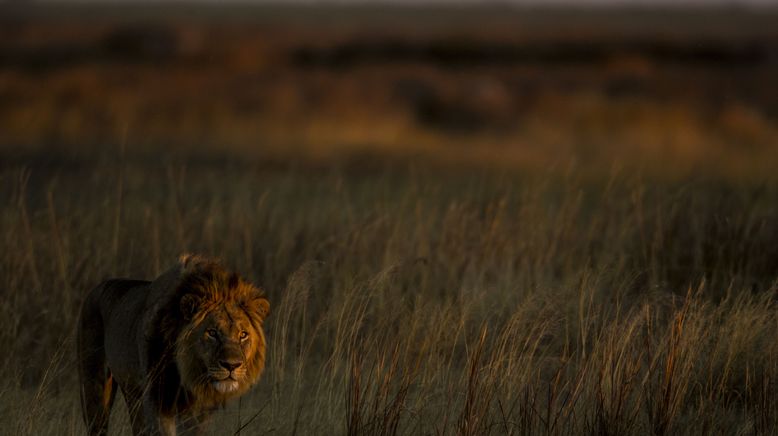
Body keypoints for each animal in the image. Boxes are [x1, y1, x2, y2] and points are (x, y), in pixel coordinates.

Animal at [76, 254, 270, 434]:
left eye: (243, 335)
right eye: (212, 333)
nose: (232, 365)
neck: (187, 373)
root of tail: (95, 289)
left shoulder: (199, 411)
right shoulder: (157, 399)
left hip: (132, 393)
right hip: (95, 389)